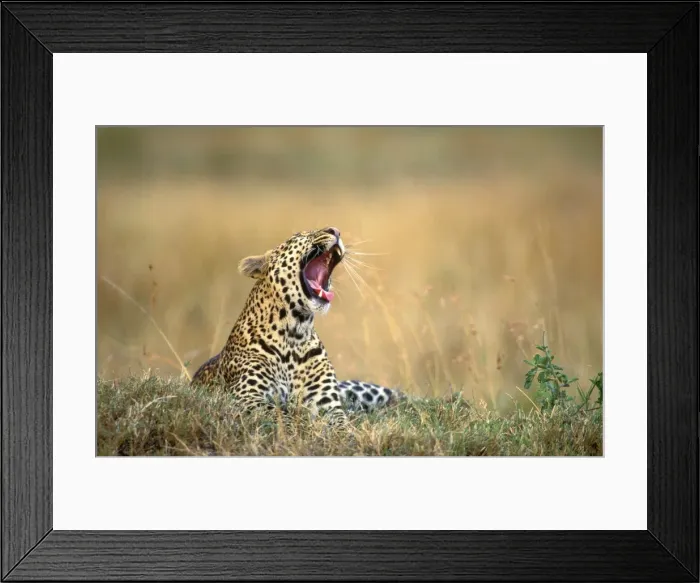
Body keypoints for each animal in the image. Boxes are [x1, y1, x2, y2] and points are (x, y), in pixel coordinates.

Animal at [191, 226, 406, 425]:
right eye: (300, 235)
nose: (336, 230)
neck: (296, 332)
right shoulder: (247, 395)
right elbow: (281, 416)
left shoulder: (326, 403)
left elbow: (341, 425)